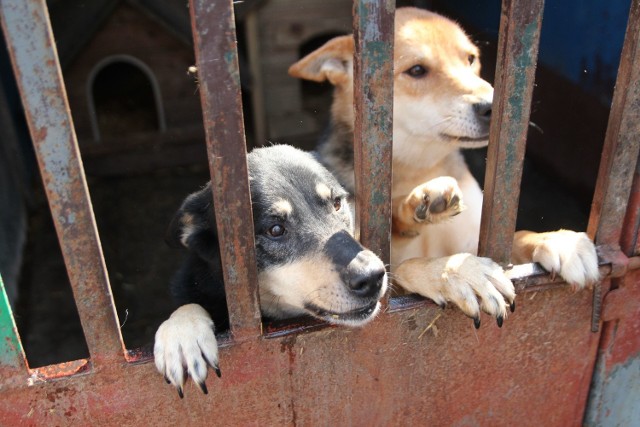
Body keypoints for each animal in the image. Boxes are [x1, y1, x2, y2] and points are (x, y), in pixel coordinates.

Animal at [290, 6, 600, 328]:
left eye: (470, 59)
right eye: (417, 70)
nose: (492, 105)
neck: (417, 169)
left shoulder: (480, 236)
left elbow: (515, 238)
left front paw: (559, 240)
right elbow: (405, 266)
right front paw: (456, 270)